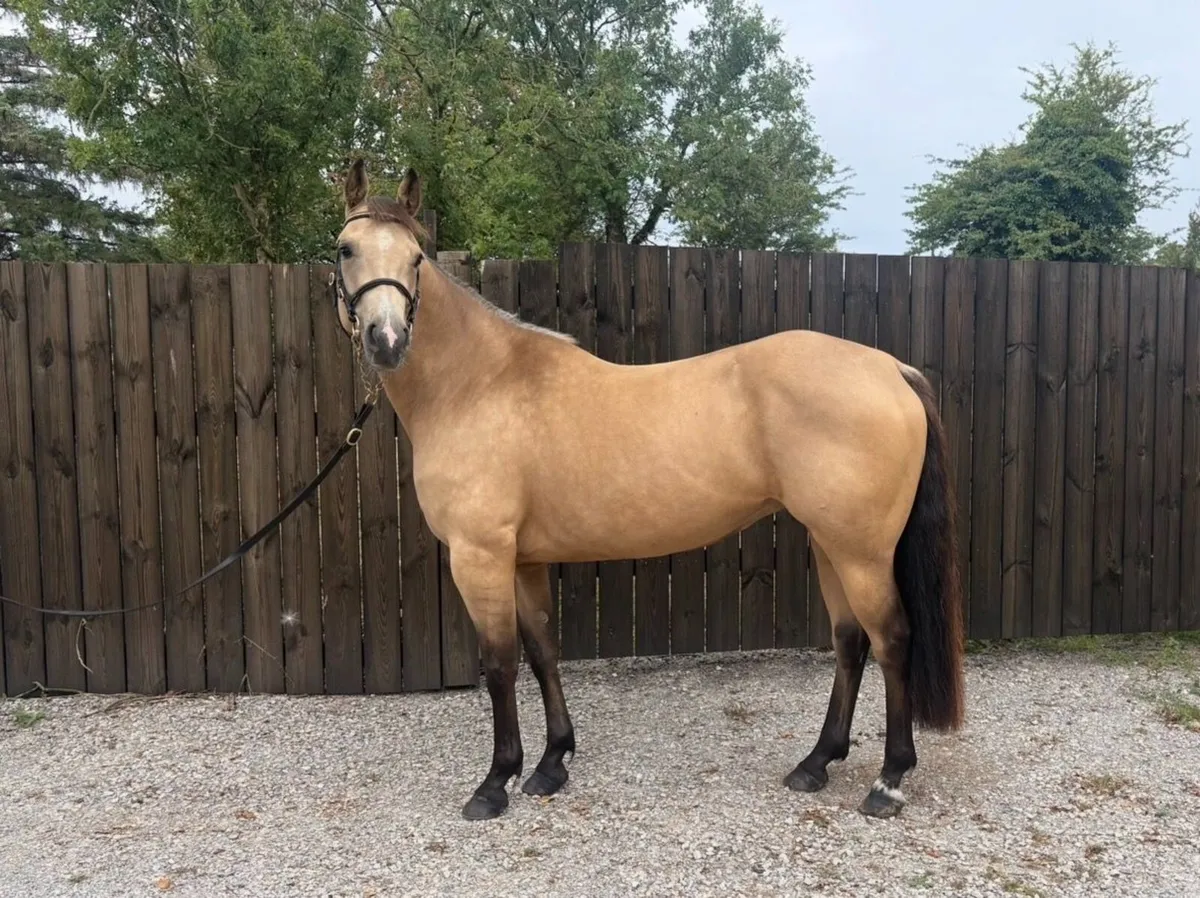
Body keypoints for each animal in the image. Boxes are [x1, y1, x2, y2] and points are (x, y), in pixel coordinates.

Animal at [328, 158, 965, 822]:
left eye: (416, 258)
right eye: (346, 248)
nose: (386, 340)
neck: (480, 385)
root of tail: (890, 369)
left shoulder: (480, 557)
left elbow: (500, 664)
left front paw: (495, 782)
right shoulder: (522, 560)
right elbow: (543, 650)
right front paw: (552, 764)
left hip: (862, 553)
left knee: (892, 640)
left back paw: (888, 781)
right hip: (831, 544)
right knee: (850, 642)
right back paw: (816, 763)